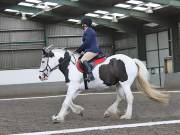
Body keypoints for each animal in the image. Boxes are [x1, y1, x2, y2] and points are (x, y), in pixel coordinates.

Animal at [38, 45, 169, 122]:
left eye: (43, 61)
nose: (40, 76)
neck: (71, 65)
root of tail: (132, 60)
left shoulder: (73, 86)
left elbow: (66, 102)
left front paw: (59, 118)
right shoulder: (76, 88)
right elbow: (69, 101)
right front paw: (77, 111)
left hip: (125, 83)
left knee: (129, 97)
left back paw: (127, 116)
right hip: (118, 83)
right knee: (120, 97)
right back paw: (109, 112)